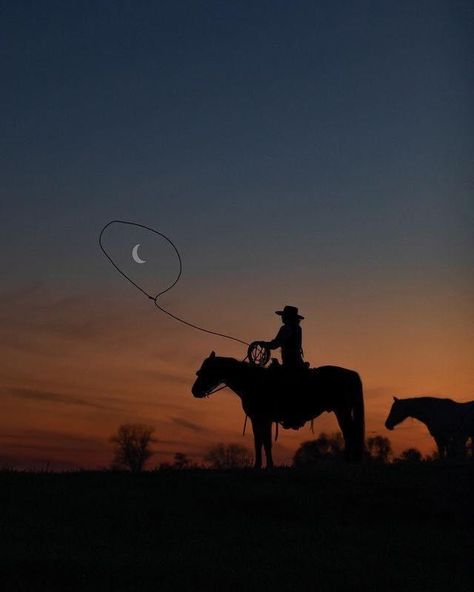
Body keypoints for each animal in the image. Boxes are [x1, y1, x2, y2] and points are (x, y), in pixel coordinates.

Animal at [191, 352, 364, 468]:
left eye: (204, 371)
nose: (194, 391)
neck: (252, 381)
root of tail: (350, 373)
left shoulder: (263, 418)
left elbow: (264, 442)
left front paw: (265, 466)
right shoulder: (259, 419)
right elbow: (261, 441)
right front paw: (262, 465)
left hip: (342, 410)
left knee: (349, 432)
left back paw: (348, 460)